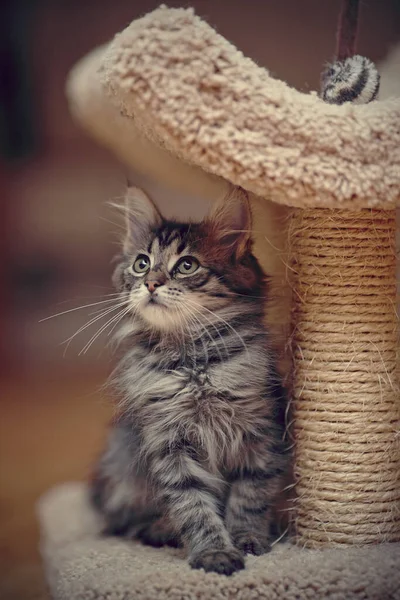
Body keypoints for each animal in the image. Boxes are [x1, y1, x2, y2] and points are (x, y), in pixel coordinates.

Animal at [91, 184, 290, 576]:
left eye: (187, 265)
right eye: (141, 263)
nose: (151, 283)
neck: (193, 363)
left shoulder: (259, 432)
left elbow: (250, 496)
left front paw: (247, 539)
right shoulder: (168, 442)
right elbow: (193, 506)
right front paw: (214, 553)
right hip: (122, 460)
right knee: (124, 522)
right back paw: (161, 530)